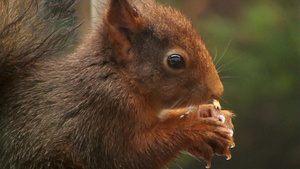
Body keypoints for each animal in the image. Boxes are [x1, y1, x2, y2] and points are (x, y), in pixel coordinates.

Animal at [0, 0, 234, 169]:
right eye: (175, 61)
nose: (218, 91)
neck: (121, 77)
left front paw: (206, 113)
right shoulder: (104, 112)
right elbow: (134, 155)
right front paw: (199, 127)